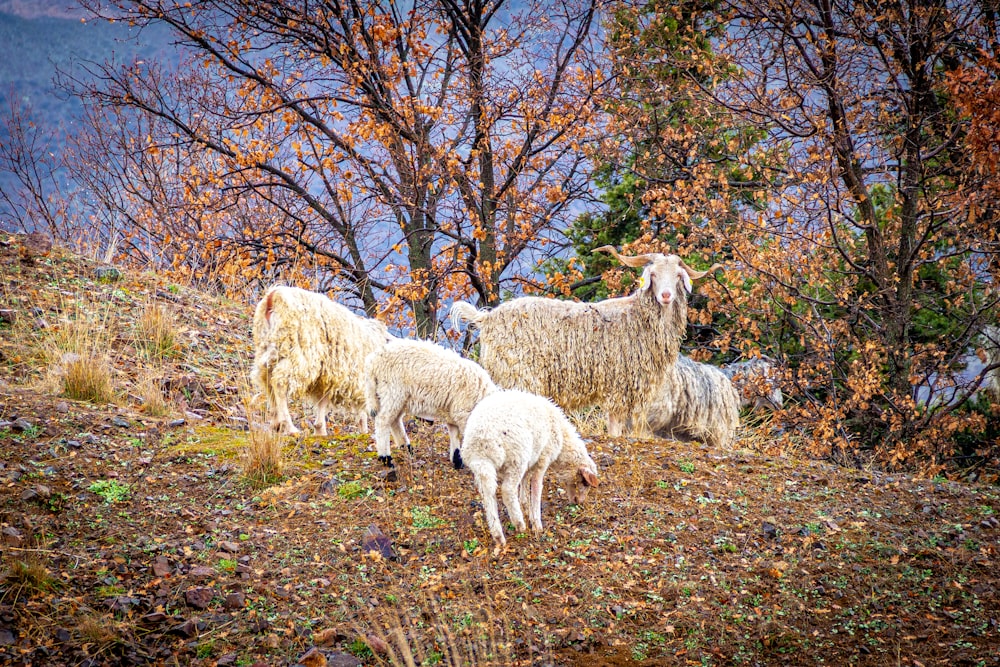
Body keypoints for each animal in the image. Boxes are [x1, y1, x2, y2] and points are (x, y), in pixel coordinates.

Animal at [252, 284, 392, 436]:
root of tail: (274, 296)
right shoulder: (342, 375)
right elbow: (349, 408)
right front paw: (322, 430)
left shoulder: (328, 374)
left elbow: (323, 399)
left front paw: (320, 429)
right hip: (300, 353)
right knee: (279, 382)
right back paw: (289, 427)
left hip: (269, 349)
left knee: (266, 378)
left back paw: (275, 423)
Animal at [362, 342, 498, 468]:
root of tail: (371, 362)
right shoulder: (462, 412)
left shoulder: (453, 412)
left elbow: (454, 434)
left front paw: (457, 459)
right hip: (392, 391)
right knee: (383, 421)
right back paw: (386, 458)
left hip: (400, 398)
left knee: (395, 421)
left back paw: (407, 449)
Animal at [452, 245, 720, 438]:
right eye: (652, 274)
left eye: (677, 276)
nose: (665, 295)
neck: (634, 316)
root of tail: (487, 318)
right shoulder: (618, 382)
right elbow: (615, 423)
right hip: (518, 373)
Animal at [462, 388, 600, 552]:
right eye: (585, 483)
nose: (579, 502)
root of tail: (482, 438)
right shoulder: (543, 458)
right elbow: (536, 486)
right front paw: (536, 523)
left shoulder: (531, 461)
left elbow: (525, 480)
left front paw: (524, 504)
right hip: (516, 458)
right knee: (507, 490)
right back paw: (519, 523)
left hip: (482, 467)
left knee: (487, 494)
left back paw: (498, 534)